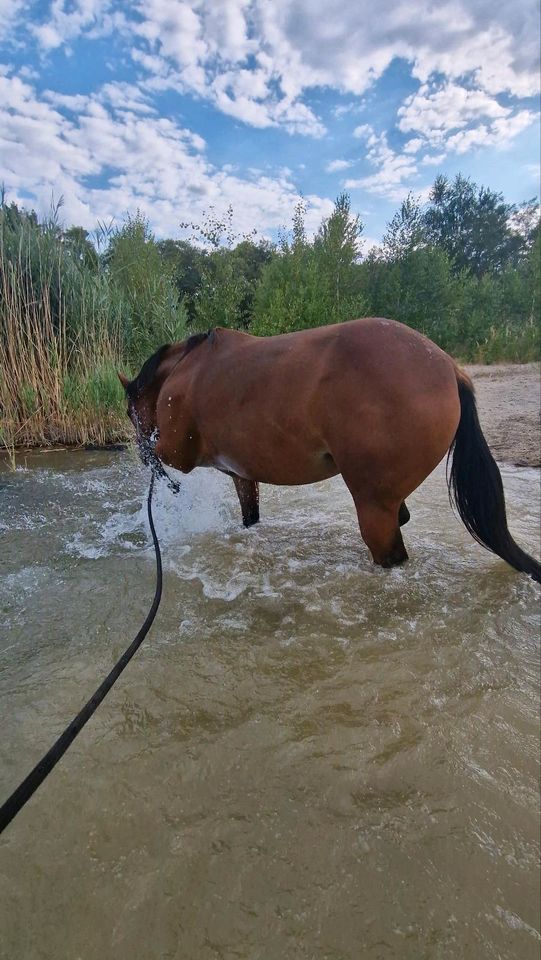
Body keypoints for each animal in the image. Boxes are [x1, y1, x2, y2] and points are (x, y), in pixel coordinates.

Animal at [118, 318, 540, 580]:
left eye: (128, 412)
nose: (136, 448)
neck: (185, 369)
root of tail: (450, 367)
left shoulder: (178, 453)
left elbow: (161, 460)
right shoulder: (241, 473)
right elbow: (249, 514)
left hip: (374, 508)